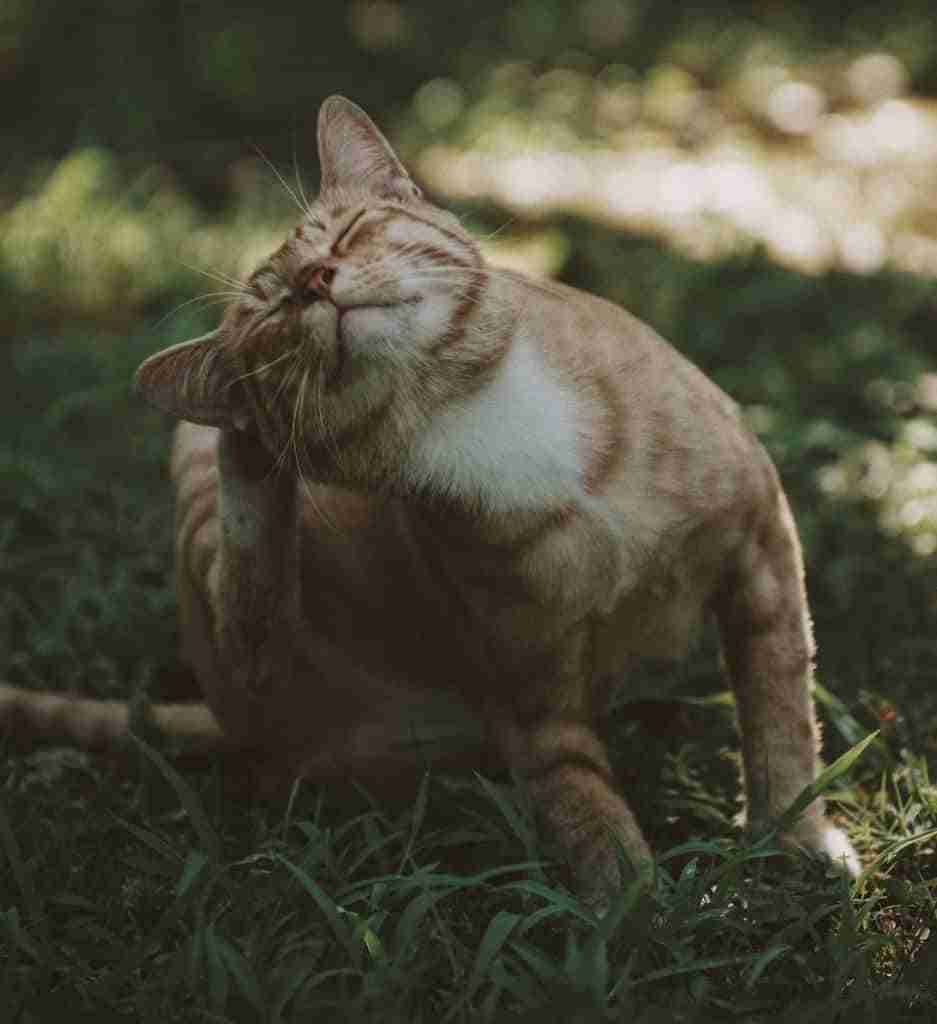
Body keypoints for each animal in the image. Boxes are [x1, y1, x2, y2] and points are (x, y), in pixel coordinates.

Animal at [1, 97, 864, 913]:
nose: (314, 283)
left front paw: (793, 840)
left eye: (346, 233)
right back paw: (250, 443)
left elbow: (780, 713)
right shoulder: (530, 692)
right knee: (251, 597)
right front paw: (631, 907)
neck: (466, 408)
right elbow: (578, 795)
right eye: (270, 312)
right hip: (225, 573)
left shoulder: (759, 543)